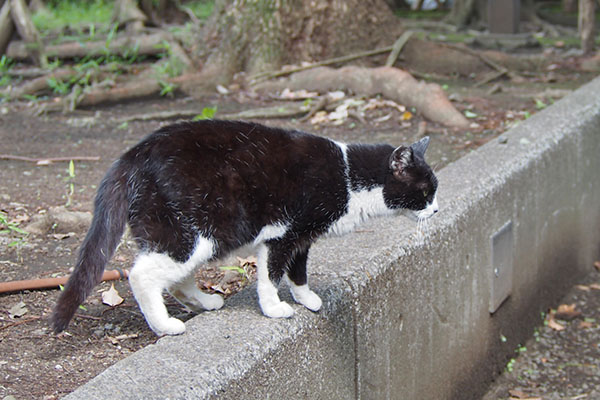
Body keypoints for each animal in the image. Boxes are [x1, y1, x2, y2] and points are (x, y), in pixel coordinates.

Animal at [51, 120, 438, 336]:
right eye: (425, 192)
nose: (435, 210)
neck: (348, 178)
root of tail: (133, 155)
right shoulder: (280, 235)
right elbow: (270, 276)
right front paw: (274, 309)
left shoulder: (302, 238)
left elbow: (298, 272)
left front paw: (307, 299)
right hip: (193, 231)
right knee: (142, 274)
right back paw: (165, 326)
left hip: (199, 236)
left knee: (175, 276)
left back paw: (204, 301)